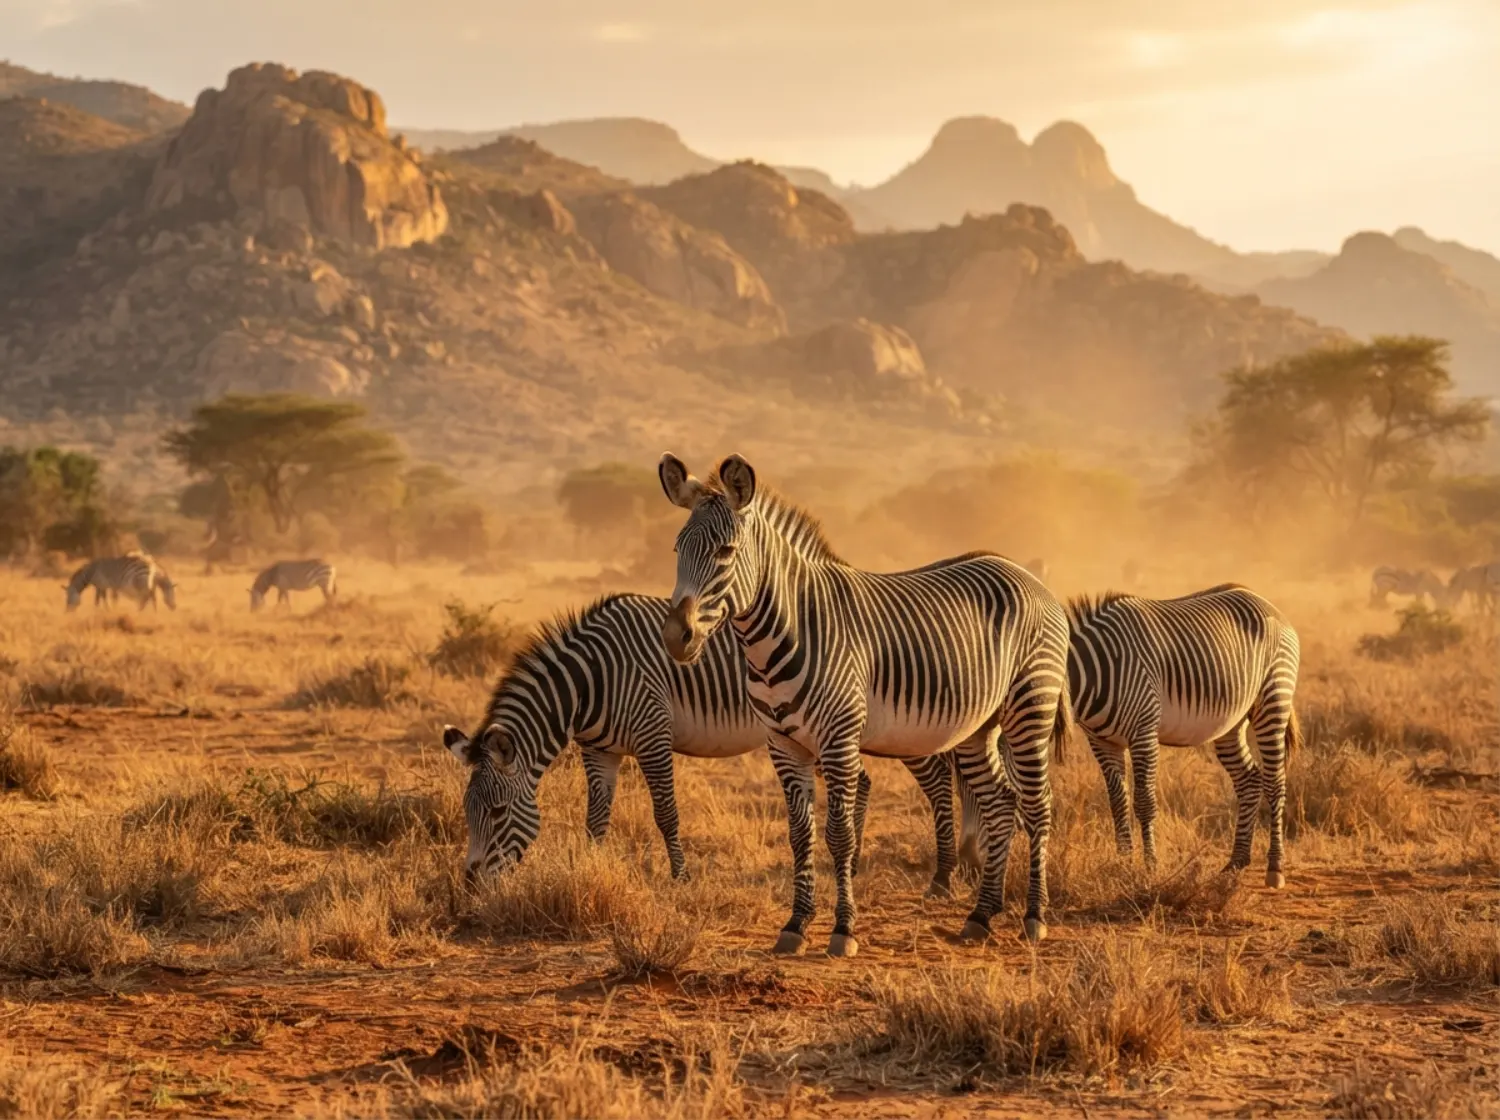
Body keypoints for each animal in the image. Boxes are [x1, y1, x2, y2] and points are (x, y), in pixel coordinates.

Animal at [441, 593, 972, 889]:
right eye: (466, 812)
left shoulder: (653, 735)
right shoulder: (599, 750)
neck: (591, 681)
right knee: (863, 780)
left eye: (497, 812)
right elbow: (596, 818)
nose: (469, 885)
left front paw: (680, 878)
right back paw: (855, 864)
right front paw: (588, 866)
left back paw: (943, 874)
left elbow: (665, 813)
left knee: (936, 779)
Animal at [659, 453, 1072, 954]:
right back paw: (981, 915)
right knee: (1000, 803)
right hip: (978, 727)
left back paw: (1034, 917)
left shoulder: (838, 740)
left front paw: (843, 930)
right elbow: (799, 835)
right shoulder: (783, 744)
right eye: (677, 550)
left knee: (1037, 804)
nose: (676, 638)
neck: (786, 630)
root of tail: (1029, 577)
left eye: (726, 551)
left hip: (1031, 706)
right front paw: (795, 925)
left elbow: (840, 834)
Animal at [1067, 585, 1300, 886]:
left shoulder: (1144, 731)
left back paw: (1275, 868)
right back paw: (1235, 862)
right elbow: (1117, 802)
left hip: (1273, 697)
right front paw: (1122, 865)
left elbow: (1144, 801)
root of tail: (1265, 602)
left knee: (1275, 783)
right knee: (1249, 779)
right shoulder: (1102, 741)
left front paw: (1149, 867)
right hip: (1232, 722)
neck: (1096, 669)